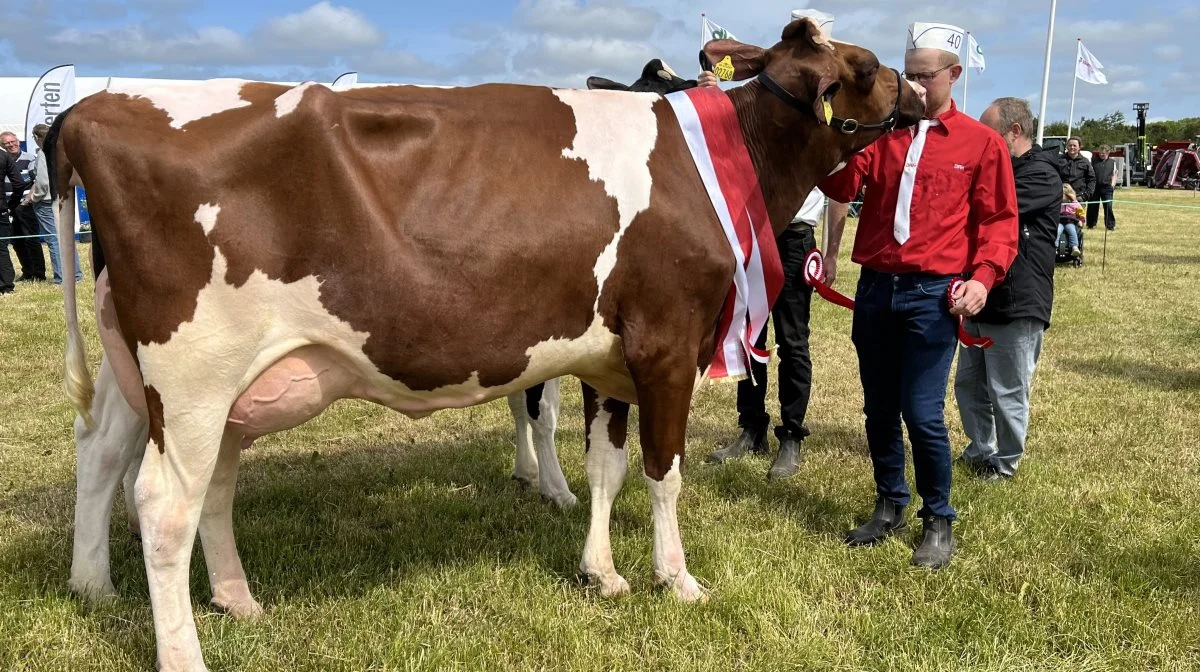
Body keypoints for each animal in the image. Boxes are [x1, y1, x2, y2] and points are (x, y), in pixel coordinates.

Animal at [51, 19, 921, 667]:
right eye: (865, 66)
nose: (920, 92)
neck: (718, 165)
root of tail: (89, 109)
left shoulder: (610, 355)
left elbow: (604, 467)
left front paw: (600, 573)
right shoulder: (669, 342)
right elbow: (661, 473)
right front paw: (676, 580)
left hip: (155, 372)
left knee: (124, 459)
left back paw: (144, 592)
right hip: (192, 374)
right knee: (165, 504)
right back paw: (183, 652)